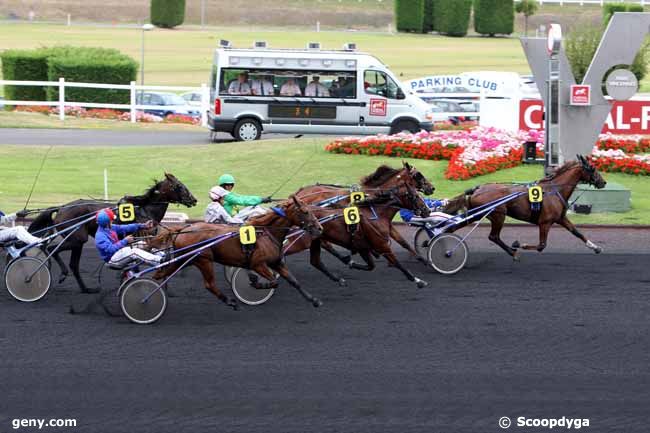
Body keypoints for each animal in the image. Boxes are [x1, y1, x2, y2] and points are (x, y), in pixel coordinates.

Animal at [27, 174, 195, 292]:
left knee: (73, 264)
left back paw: (86, 289)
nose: (194, 199)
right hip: (77, 239)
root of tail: (62, 208)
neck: (144, 209)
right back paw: (61, 273)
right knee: (51, 249)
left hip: (78, 241)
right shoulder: (140, 240)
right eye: (179, 186)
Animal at [148, 194, 322, 308]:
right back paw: (230, 301)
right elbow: (273, 281)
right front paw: (255, 282)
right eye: (305, 212)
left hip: (185, 259)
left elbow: (293, 281)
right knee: (209, 284)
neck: (267, 232)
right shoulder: (258, 264)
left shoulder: (276, 262)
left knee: (161, 273)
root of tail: (184, 229)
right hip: (203, 260)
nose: (319, 228)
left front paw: (314, 300)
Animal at [288, 169, 432, 286]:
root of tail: (300, 193)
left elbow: (403, 242)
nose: (432, 188)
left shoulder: (381, 233)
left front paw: (423, 260)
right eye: (418, 175)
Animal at [442, 155, 604, 256]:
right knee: (493, 236)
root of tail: (477, 189)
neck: (554, 190)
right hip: (498, 215)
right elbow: (541, 246)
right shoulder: (545, 222)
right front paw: (519, 244)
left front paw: (595, 247)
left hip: (477, 214)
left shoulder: (560, 218)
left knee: (455, 226)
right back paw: (513, 252)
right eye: (593, 168)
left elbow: (577, 232)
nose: (603, 182)